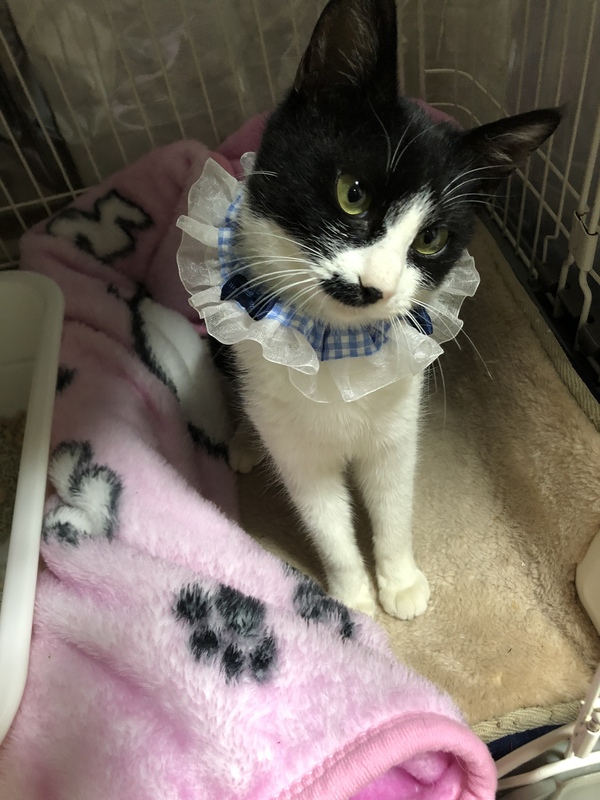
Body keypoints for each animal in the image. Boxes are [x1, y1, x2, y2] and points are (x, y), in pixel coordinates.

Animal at [217, 0, 561, 619]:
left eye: (431, 238)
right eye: (352, 193)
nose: (376, 286)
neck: (336, 349)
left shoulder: (398, 416)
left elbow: (393, 499)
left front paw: (399, 580)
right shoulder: (296, 441)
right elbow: (322, 512)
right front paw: (351, 595)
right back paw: (242, 441)